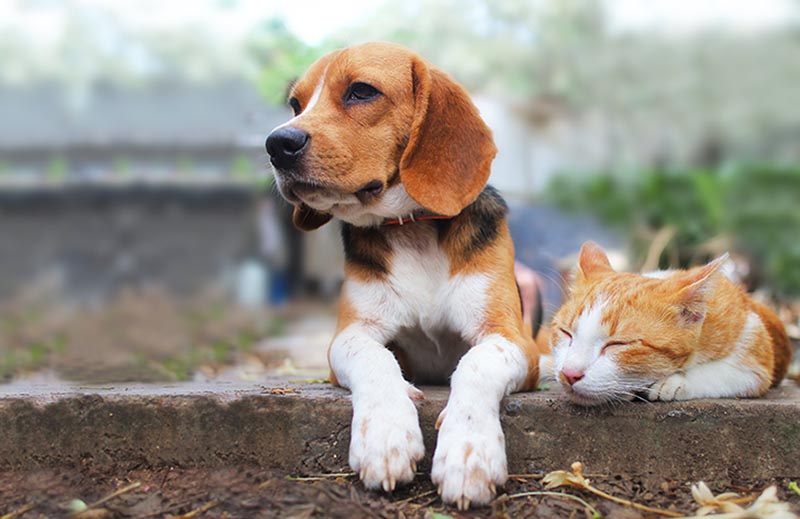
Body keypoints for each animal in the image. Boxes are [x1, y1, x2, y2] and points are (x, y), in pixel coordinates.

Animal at [266, 42, 540, 510]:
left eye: (361, 91)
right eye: (295, 105)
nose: (276, 143)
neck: (411, 228)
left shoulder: (511, 338)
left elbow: (476, 364)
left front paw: (468, 451)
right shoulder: (350, 335)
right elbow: (375, 359)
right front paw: (385, 434)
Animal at [548, 241, 792, 406]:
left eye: (618, 344)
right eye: (566, 333)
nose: (569, 374)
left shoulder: (756, 353)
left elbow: (725, 372)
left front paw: (673, 383)